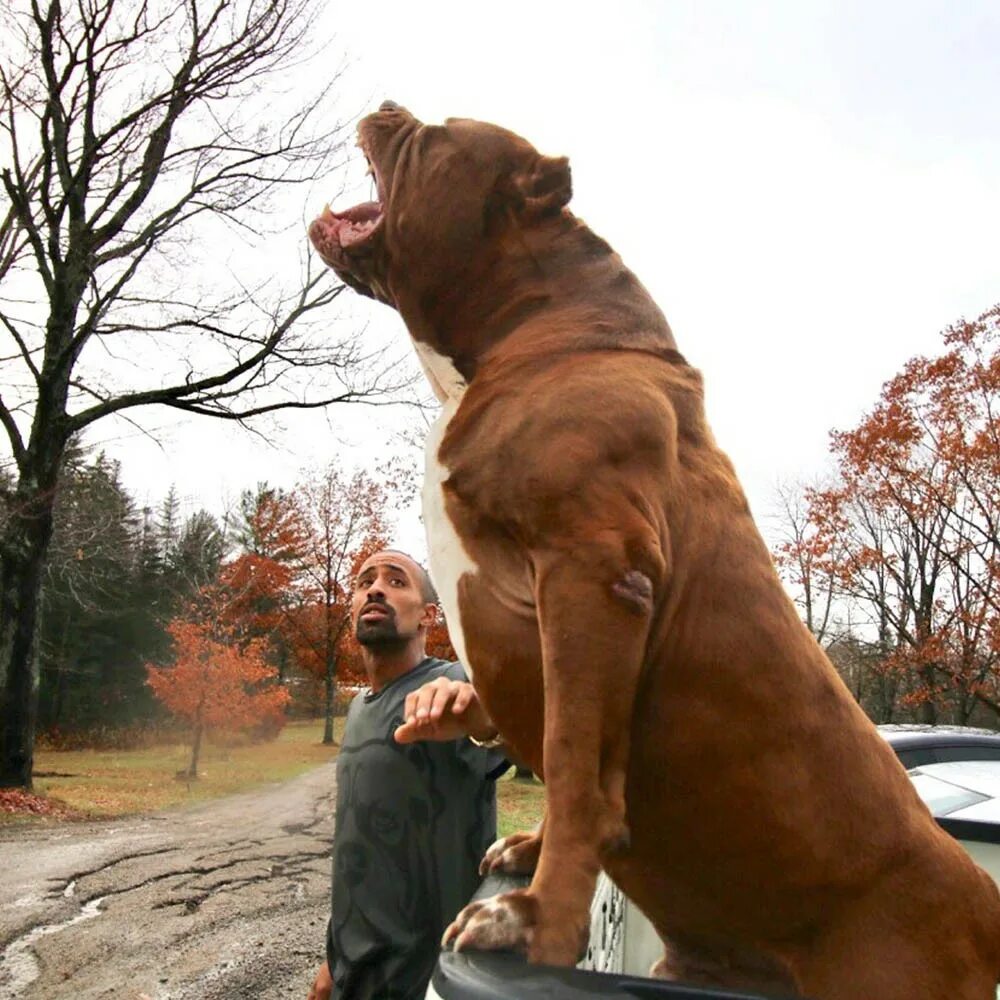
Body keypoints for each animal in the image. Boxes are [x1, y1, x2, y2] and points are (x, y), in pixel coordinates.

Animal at [310, 103, 1000, 1000]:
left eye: (438, 133)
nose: (389, 107)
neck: (528, 328)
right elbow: (550, 748)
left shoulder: (593, 574)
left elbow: (574, 764)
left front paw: (535, 920)